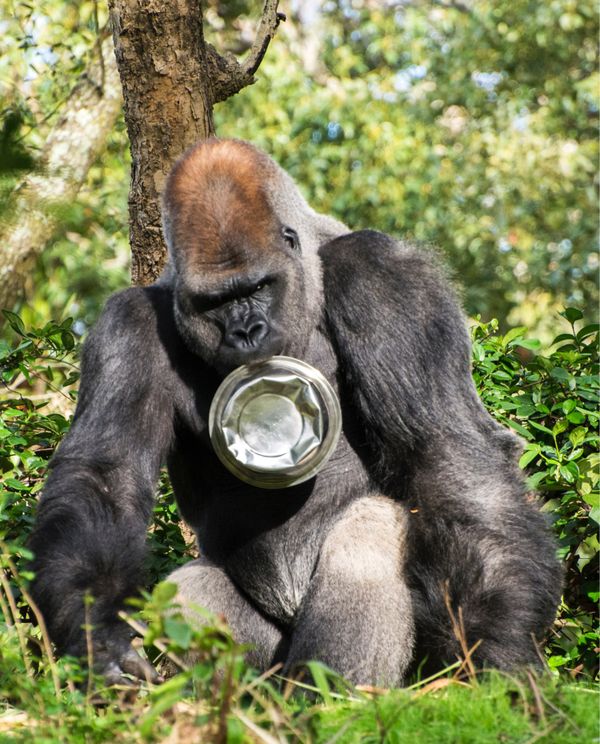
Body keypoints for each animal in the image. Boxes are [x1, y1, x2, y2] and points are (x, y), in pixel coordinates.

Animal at [29, 138, 561, 687]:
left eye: (258, 288)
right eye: (215, 303)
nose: (246, 332)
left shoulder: (386, 275)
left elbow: (447, 449)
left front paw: (499, 643)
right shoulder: (128, 324)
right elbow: (106, 475)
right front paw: (96, 630)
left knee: (372, 526)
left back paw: (333, 694)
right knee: (187, 593)